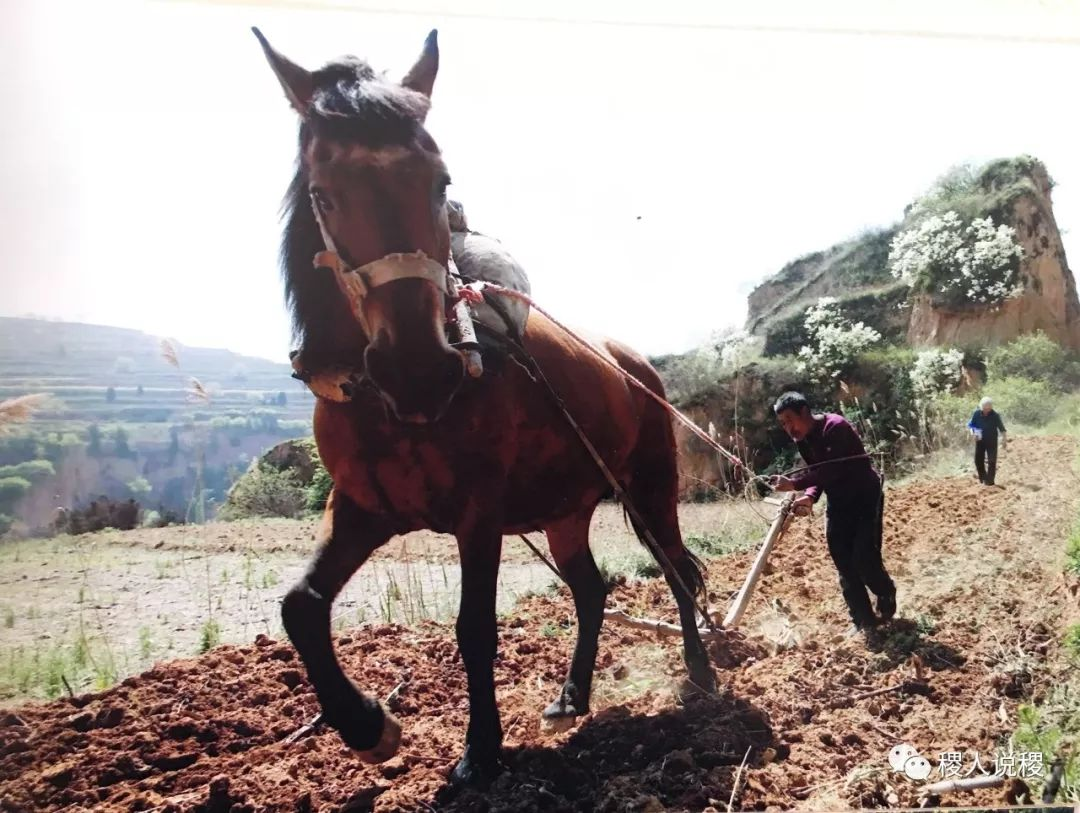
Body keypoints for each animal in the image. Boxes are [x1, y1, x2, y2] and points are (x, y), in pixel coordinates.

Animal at [248, 28, 712, 781]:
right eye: (323, 194)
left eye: (441, 183)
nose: (417, 369)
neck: (392, 410)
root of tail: (632, 360)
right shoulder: (363, 508)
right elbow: (300, 607)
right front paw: (369, 726)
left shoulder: (479, 512)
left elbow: (474, 627)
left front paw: (481, 748)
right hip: (566, 507)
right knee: (590, 587)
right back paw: (572, 694)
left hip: (648, 487)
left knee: (676, 568)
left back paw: (700, 672)